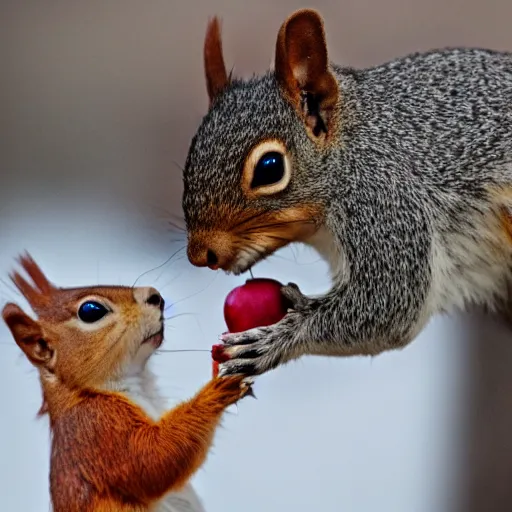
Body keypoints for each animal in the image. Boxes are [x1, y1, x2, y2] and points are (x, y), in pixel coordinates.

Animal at [182, 7, 512, 376]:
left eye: (270, 167)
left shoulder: (386, 203)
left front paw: (277, 338)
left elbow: (388, 307)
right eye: (191, 154)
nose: (201, 255)